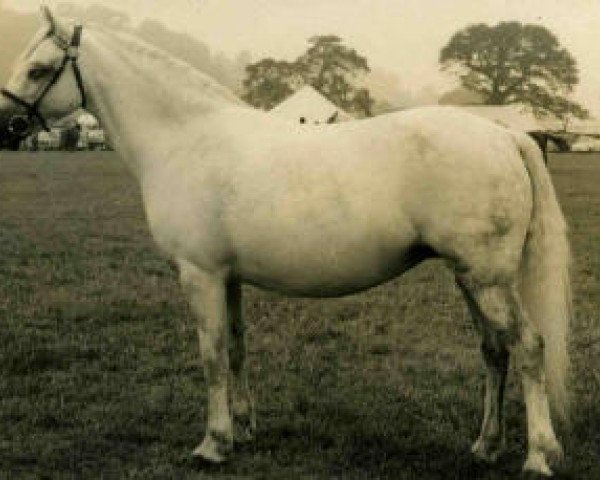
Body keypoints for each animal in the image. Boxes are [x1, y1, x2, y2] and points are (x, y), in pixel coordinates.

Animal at [0, 7, 572, 476]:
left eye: (38, 69)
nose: (7, 127)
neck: (186, 138)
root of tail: (504, 135)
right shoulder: (226, 277)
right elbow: (235, 348)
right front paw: (244, 429)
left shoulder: (199, 273)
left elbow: (210, 355)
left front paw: (213, 444)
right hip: (471, 277)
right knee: (494, 351)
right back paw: (486, 446)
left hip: (486, 278)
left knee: (527, 346)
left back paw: (539, 455)